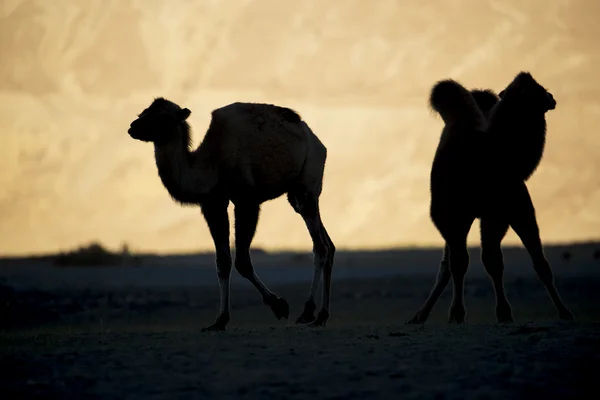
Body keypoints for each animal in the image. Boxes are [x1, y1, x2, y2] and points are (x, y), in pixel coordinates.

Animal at [127, 97, 336, 332]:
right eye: (142, 112)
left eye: (163, 117)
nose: (133, 127)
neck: (210, 165)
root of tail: (317, 142)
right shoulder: (213, 204)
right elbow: (222, 262)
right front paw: (219, 320)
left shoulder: (246, 201)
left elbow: (242, 261)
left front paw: (279, 305)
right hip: (295, 195)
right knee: (329, 244)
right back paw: (321, 315)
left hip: (307, 183)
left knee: (320, 246)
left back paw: (309, 311)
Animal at [410, 72, 576, 324]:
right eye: (534, 90)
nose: (551, 97)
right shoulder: (453, 214)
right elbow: (461, 263)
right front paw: (457, 313)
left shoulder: (507, 211)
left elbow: (513, 262)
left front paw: (560, 311)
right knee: (449, 264)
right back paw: (421, 314)